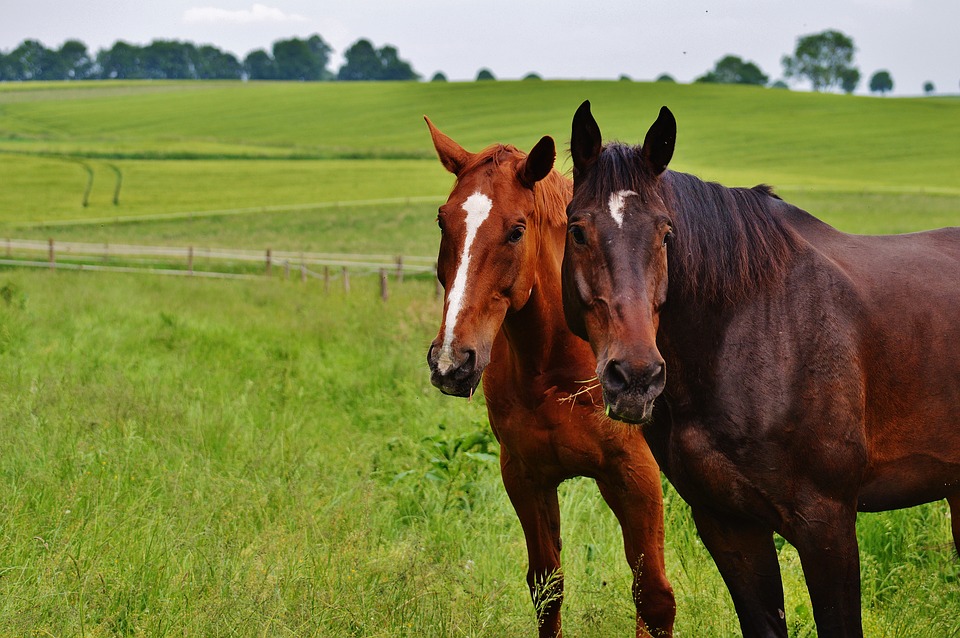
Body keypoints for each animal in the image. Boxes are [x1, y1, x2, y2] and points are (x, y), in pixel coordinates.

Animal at [424, 116, 675, 637]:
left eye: (516, 231)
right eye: (442, 220)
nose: (452, 361)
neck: (555, 368)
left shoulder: (635, 477)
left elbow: (654, 597)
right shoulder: (526, 476)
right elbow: (547, 589)